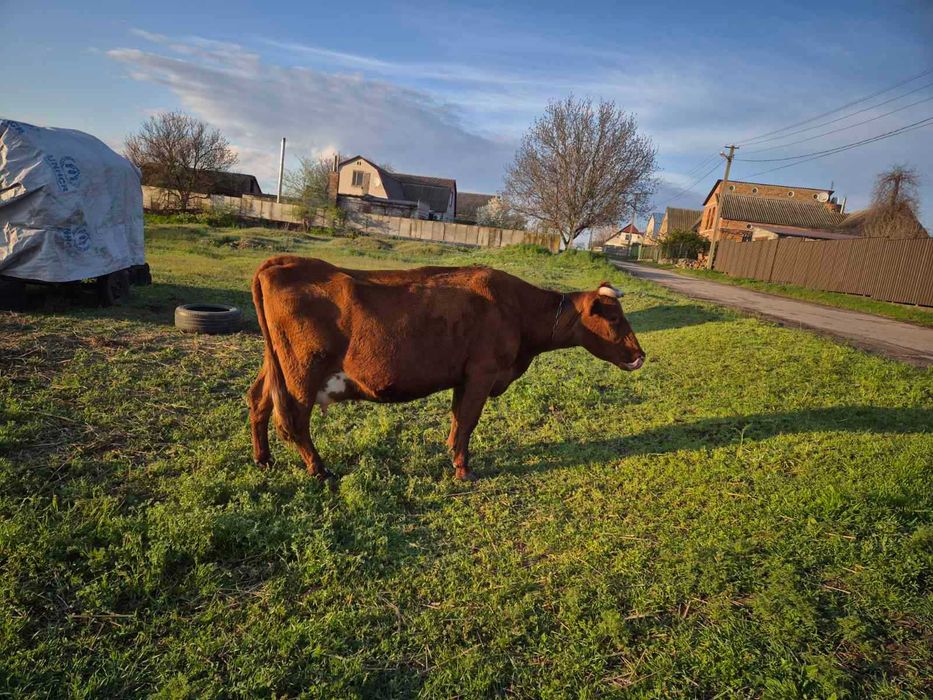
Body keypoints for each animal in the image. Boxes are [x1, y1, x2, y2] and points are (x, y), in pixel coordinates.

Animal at [248, 255, 645, 481]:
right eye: (614, 318)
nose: (640, 354)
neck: (516, 309)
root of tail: (284, 262)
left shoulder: (464, 376)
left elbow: (457, 419)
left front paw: (453, 453)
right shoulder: (483, 373)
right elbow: (468, 420)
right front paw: (463, 469)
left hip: (275, 367)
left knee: (258, 402)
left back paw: (263, 460)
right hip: (302, 374)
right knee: (294, 422)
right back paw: (318, 469)